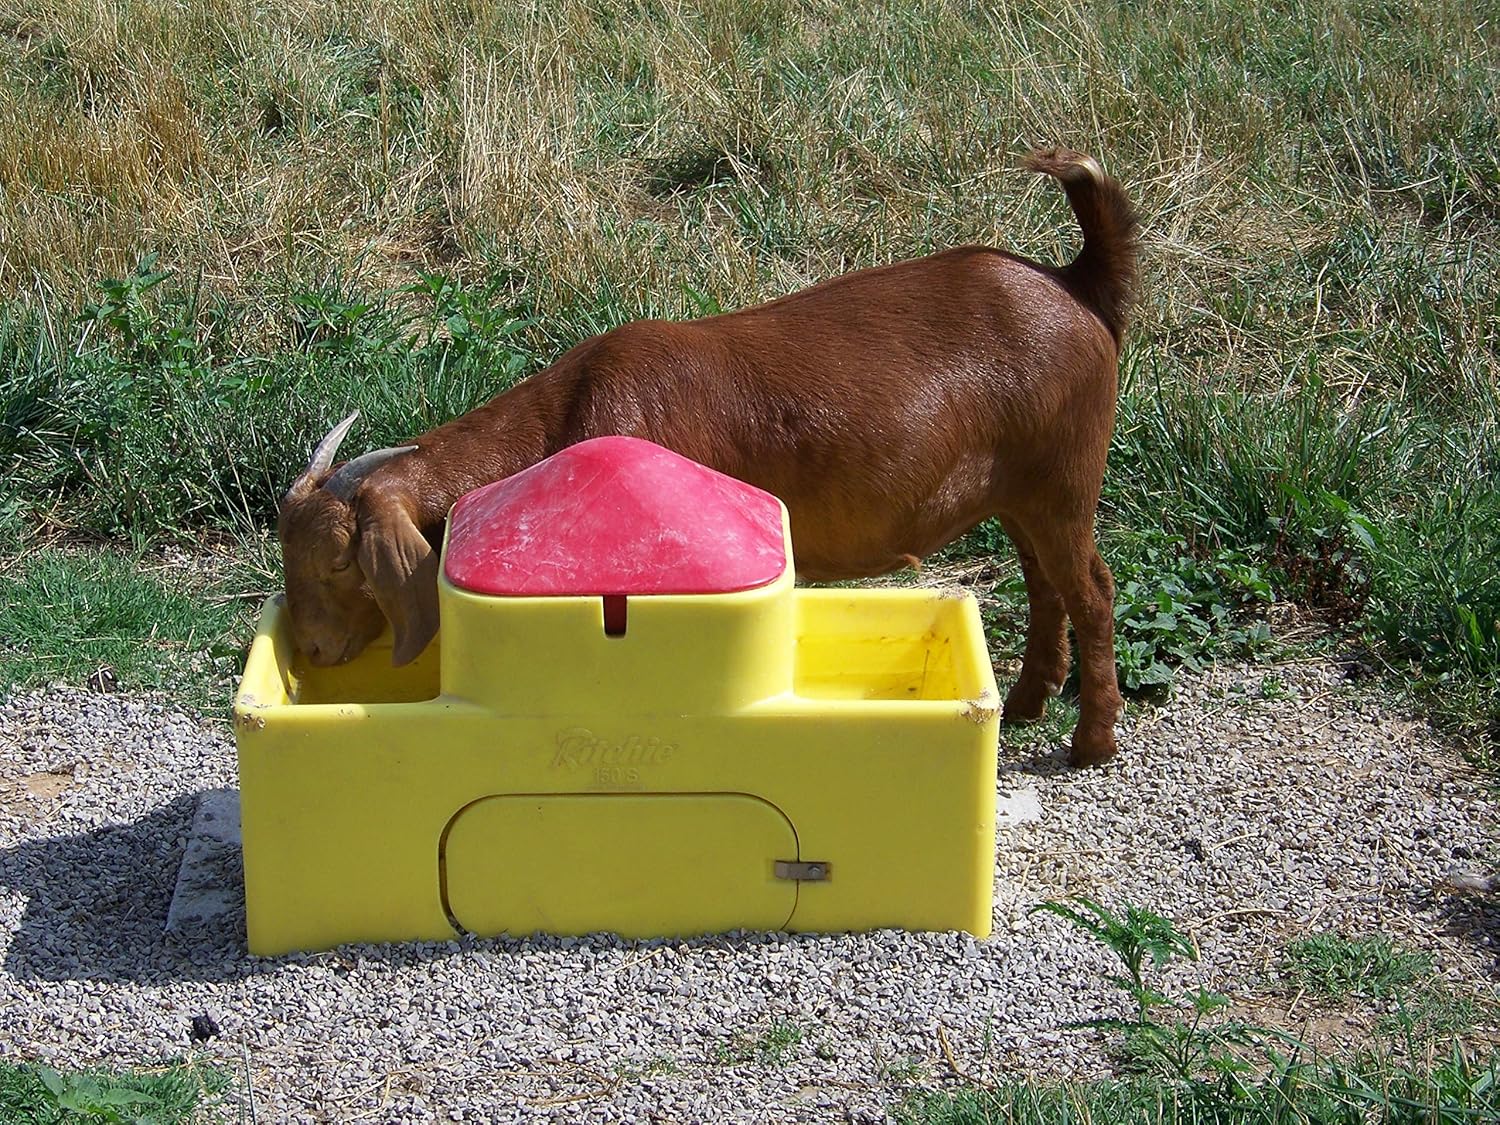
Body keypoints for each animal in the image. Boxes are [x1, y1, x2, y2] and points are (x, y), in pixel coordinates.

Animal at [278, 147, 1137, 766]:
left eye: (340, 561)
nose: (311, 648)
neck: (570, 409)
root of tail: (1077, 286)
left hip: (1065, 478)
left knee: (1091, 589)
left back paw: (1091, 743)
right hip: (1021, 491)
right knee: (1046, 586)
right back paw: (1026, 702)